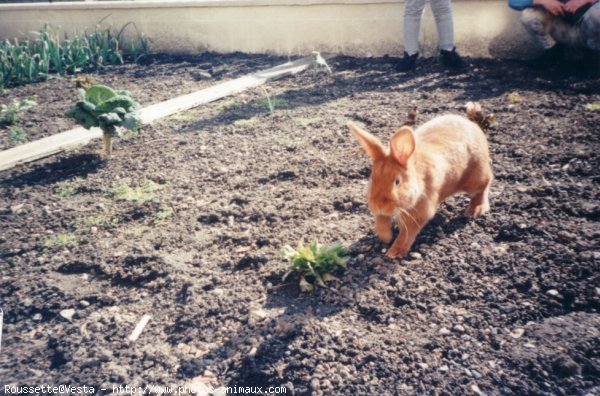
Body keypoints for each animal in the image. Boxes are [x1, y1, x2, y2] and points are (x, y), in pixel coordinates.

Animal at [346, 113, 492, 258]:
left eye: (397, 181)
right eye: (372, 178)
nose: (379, 205)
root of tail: (474, 127)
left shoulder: (419, 212)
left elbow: (407, 234)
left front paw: (394, 252)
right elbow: (381, 220)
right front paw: (385, 237)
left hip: (475, 177)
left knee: (484, 186)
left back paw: (476, 210)